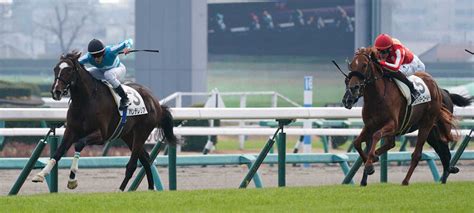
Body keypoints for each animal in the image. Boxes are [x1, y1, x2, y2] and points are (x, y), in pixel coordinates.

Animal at [31, 50, 177, 191]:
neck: (86, 101)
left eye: (69, 70)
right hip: (128, 135)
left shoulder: (100, 135)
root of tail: (156, 102)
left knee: (132, 165)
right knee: (146, 159)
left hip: (142, 132)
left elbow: (79, 144)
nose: (56, 92)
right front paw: (40, 174)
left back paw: (120, 190)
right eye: (55, 69)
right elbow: (58, 152)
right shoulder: (71, 131)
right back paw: (151, 188)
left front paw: (72, 180)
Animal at [342, 47, 472, 186]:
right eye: (351, 66)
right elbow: (357, 142)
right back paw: (447, 173)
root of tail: (440, 89)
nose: (352, 90)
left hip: (426, 124)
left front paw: (370, 164)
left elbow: (376, 136)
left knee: (417, 154)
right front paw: (370, 163)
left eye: (365, 65)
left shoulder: (392, 125)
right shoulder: (369, 126)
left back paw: (406, 181)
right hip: (432, 131)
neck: (377, 97)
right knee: (442, 150)